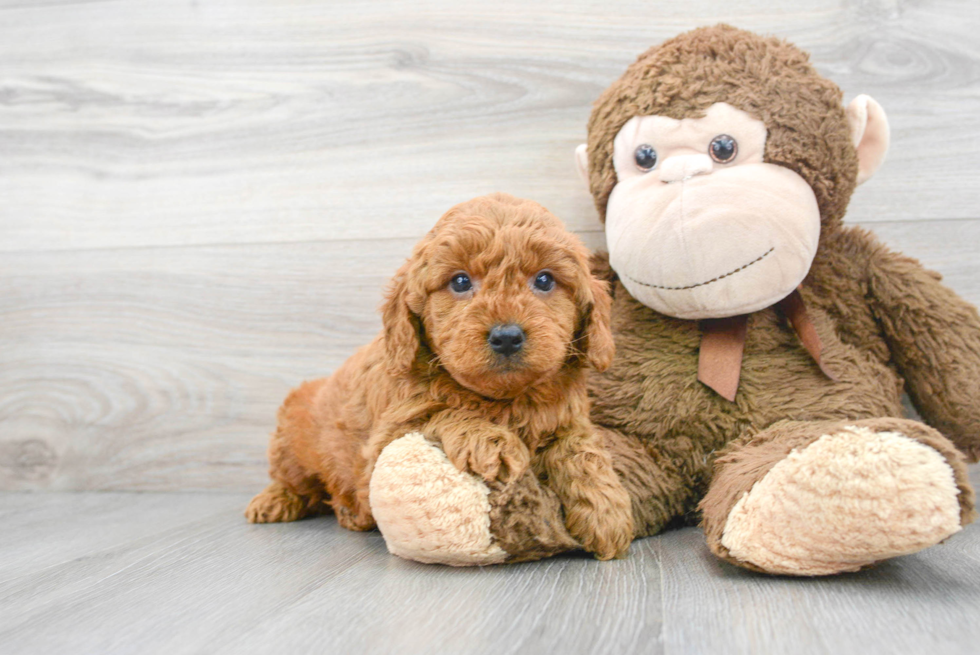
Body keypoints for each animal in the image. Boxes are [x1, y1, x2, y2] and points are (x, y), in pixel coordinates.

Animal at [245, 192, 636, 560]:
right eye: (460, 282)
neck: (505, 400)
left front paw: (606, 510)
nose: (507, 336)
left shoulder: (569, 417)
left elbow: (580, 448)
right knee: (294, 480)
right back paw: (277, 502)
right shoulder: (381, 446)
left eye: (544, 280)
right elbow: (443, 410)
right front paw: (493, 442)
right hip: (292, 440)